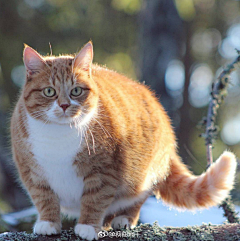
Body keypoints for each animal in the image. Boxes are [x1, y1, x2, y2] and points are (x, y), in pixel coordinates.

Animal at [10, 41, 236, 239]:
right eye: (49, 91)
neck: (59, 135)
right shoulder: (32, 173)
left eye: (76, 91)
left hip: (143, 174)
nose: (64, 105)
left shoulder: (104, 172)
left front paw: (88, 226)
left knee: (137, 199)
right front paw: (48, 223)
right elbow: (44, 198)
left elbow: (94, 199)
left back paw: (122, 219)